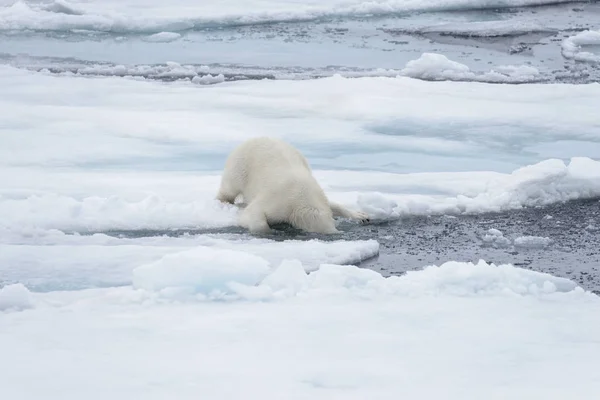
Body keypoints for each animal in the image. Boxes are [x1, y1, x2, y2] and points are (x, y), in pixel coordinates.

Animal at [216, 137, 370, 234]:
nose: (336, 232)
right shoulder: (280, 201)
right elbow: (255, 215)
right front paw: (270, 230)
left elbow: (334, 205)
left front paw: (362, 215)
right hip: (240, 165)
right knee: (230, 188)